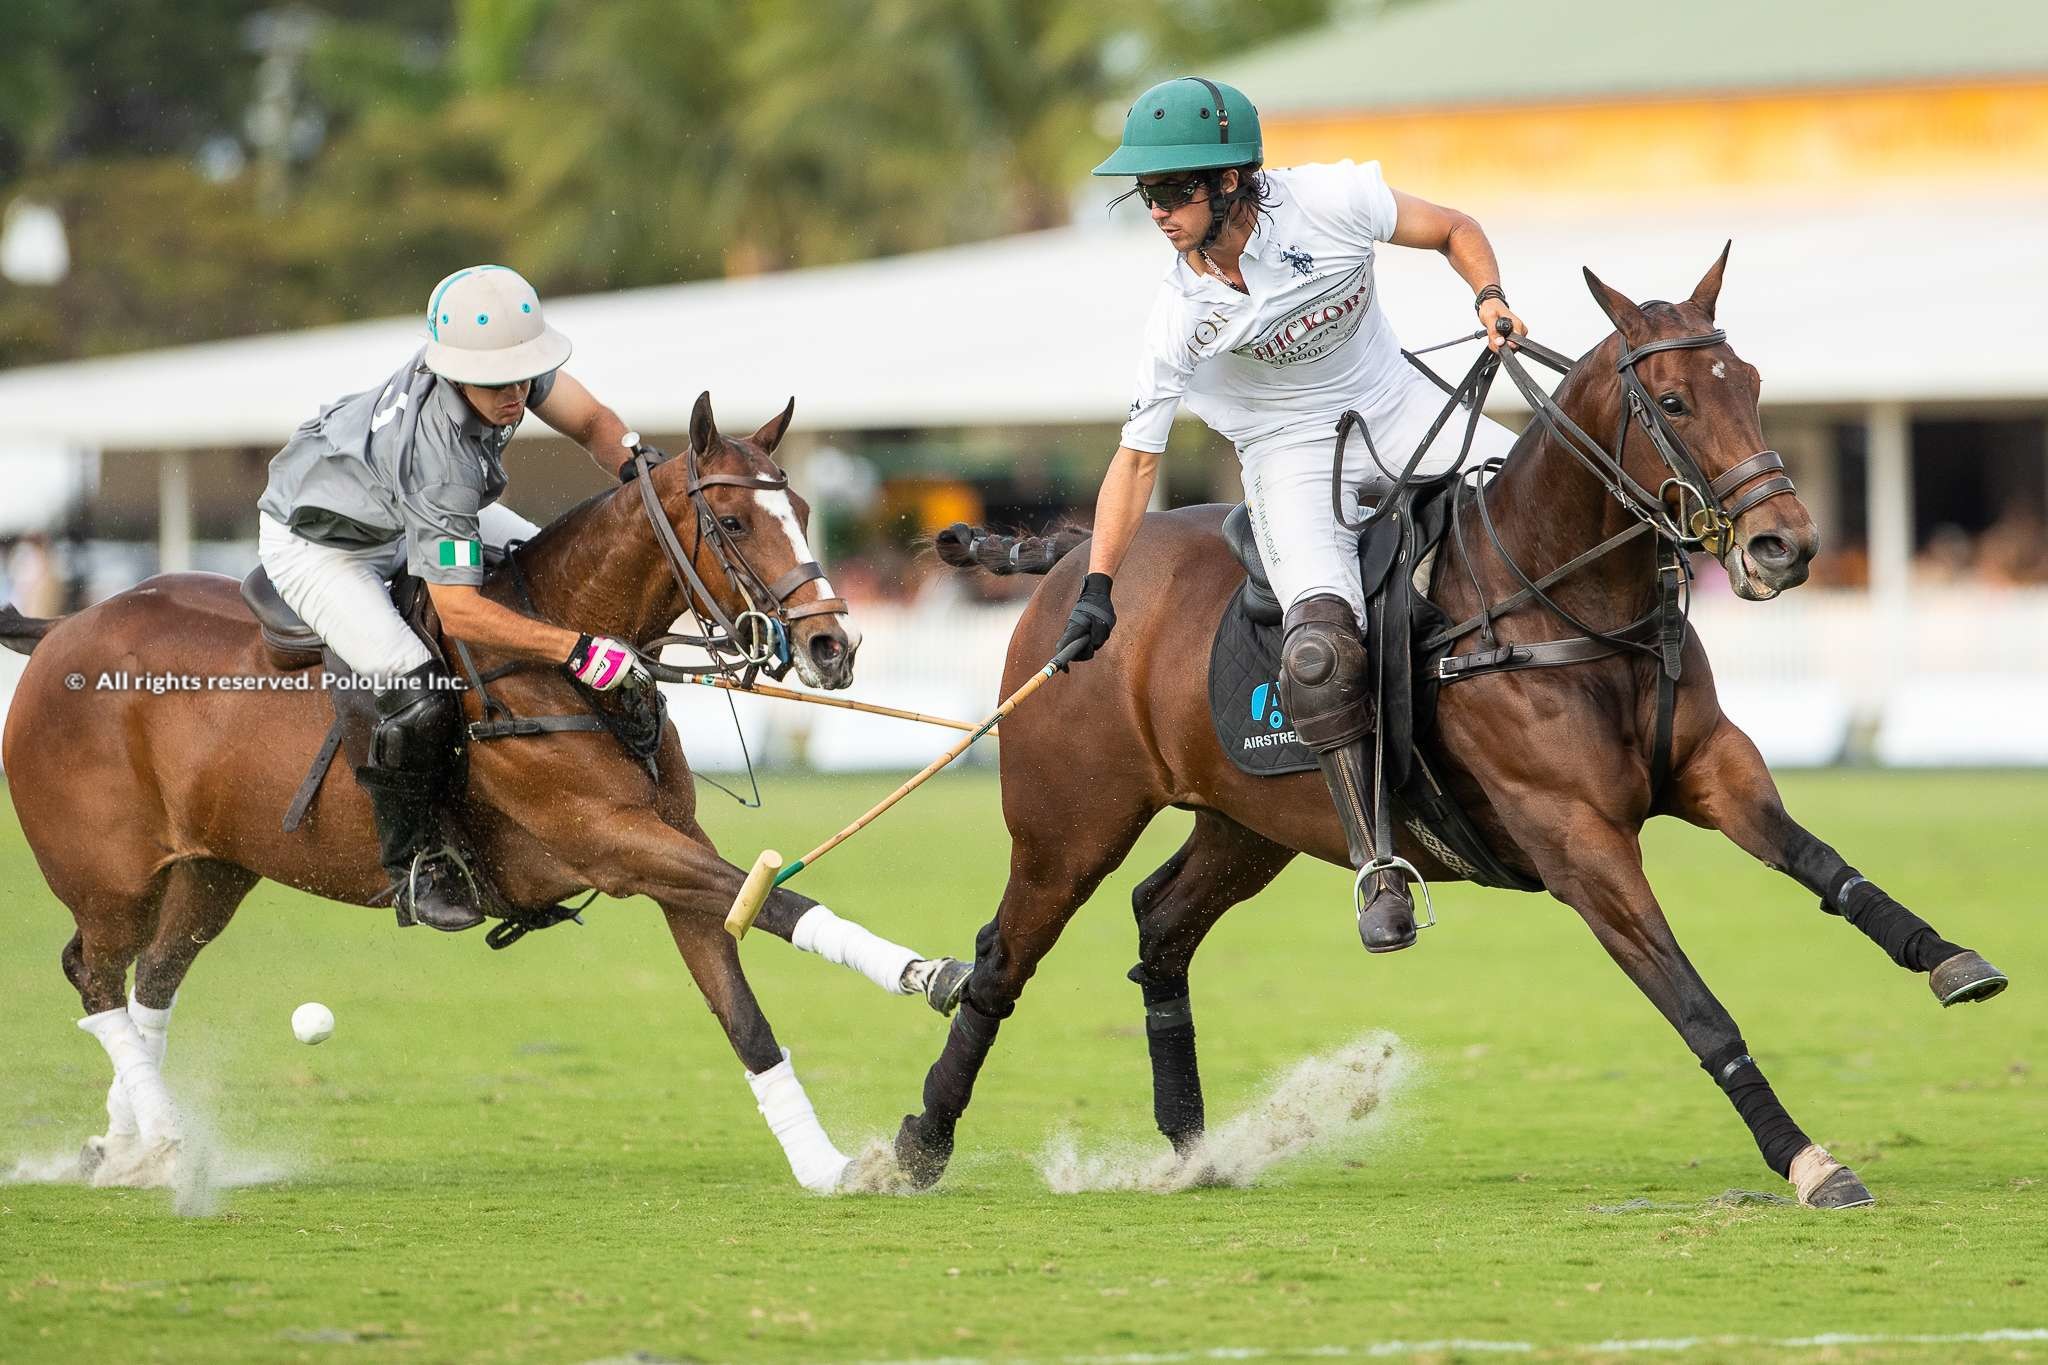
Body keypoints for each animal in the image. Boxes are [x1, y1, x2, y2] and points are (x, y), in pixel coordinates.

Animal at [0, 388, 942, 1186]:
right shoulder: (616, 842)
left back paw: (121, 1144)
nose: (832, 647)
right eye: (737, 520)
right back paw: (162, 1144)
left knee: (151, 983)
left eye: (806, 512)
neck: (560, 653)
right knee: (94, 973)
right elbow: (781, 904)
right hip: (108, 873)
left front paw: (829, 1165)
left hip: (214, 867)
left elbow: (745, 1005)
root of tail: (62, 629)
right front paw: (932, 974)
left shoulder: (673, 846)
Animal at [905, 253, 2007, 1203]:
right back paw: (917, 1144)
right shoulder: (1576, 840)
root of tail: (1081, 557)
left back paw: (1189, 1145)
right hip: (1069, 821)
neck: (1567, 605)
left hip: (1250, 821)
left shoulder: (1709, 767)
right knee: (1000, 959)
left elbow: (1820, 863)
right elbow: (1697, 1004)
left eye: (1753, 383)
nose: (1786, 544)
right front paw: (1807, 1161)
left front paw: (1950, 960)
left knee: (1160, 923)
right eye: (1675, 402)